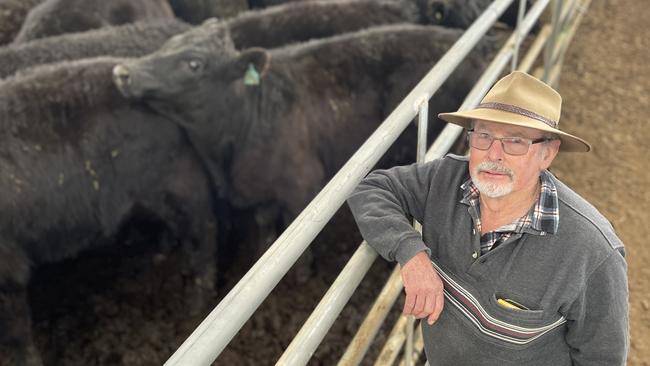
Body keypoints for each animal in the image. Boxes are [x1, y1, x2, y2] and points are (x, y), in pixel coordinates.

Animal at [0, 57, 218, 366]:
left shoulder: (7, 272)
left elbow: (18, 336)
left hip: (183, 186)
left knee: (203, 240)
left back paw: (197, 307)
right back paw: (160, 255)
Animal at [114, 22, 494, 278]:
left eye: (193, 63)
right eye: (169, 43)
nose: (122, 71)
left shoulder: (301, 187)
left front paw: (303, 273)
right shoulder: (259, 190)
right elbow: (266, 225)